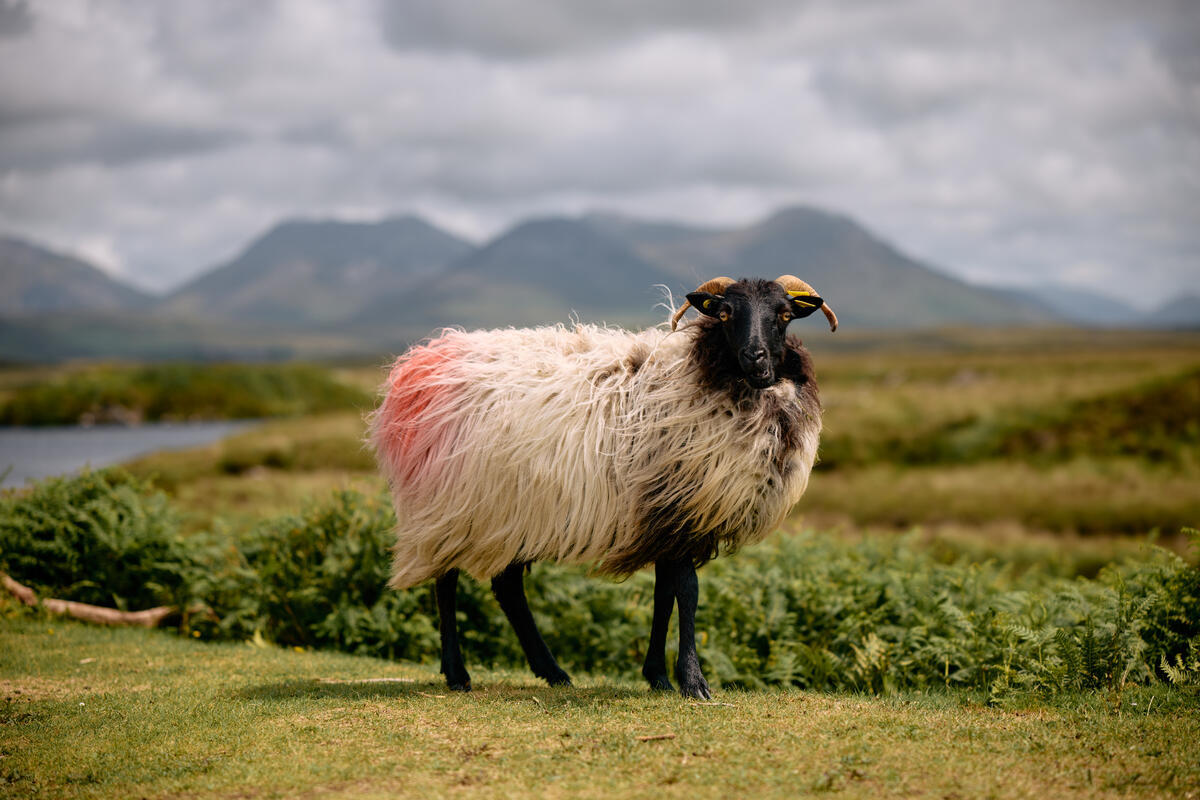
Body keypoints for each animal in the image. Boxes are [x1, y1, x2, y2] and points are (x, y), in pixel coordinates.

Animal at [369, 275, 838, 698]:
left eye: (783, 315)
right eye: (724, 314)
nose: (756, 359)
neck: (706, 373)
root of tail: (420, 366)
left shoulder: (662, 517)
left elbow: (663, 595)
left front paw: (658, 677)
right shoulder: (679, 509)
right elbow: (687, 593)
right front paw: (692, 681)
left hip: (511, 510)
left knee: (508, 588)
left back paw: (552, 672)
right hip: (450, 504)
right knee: (446, 582)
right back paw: (458, 674)